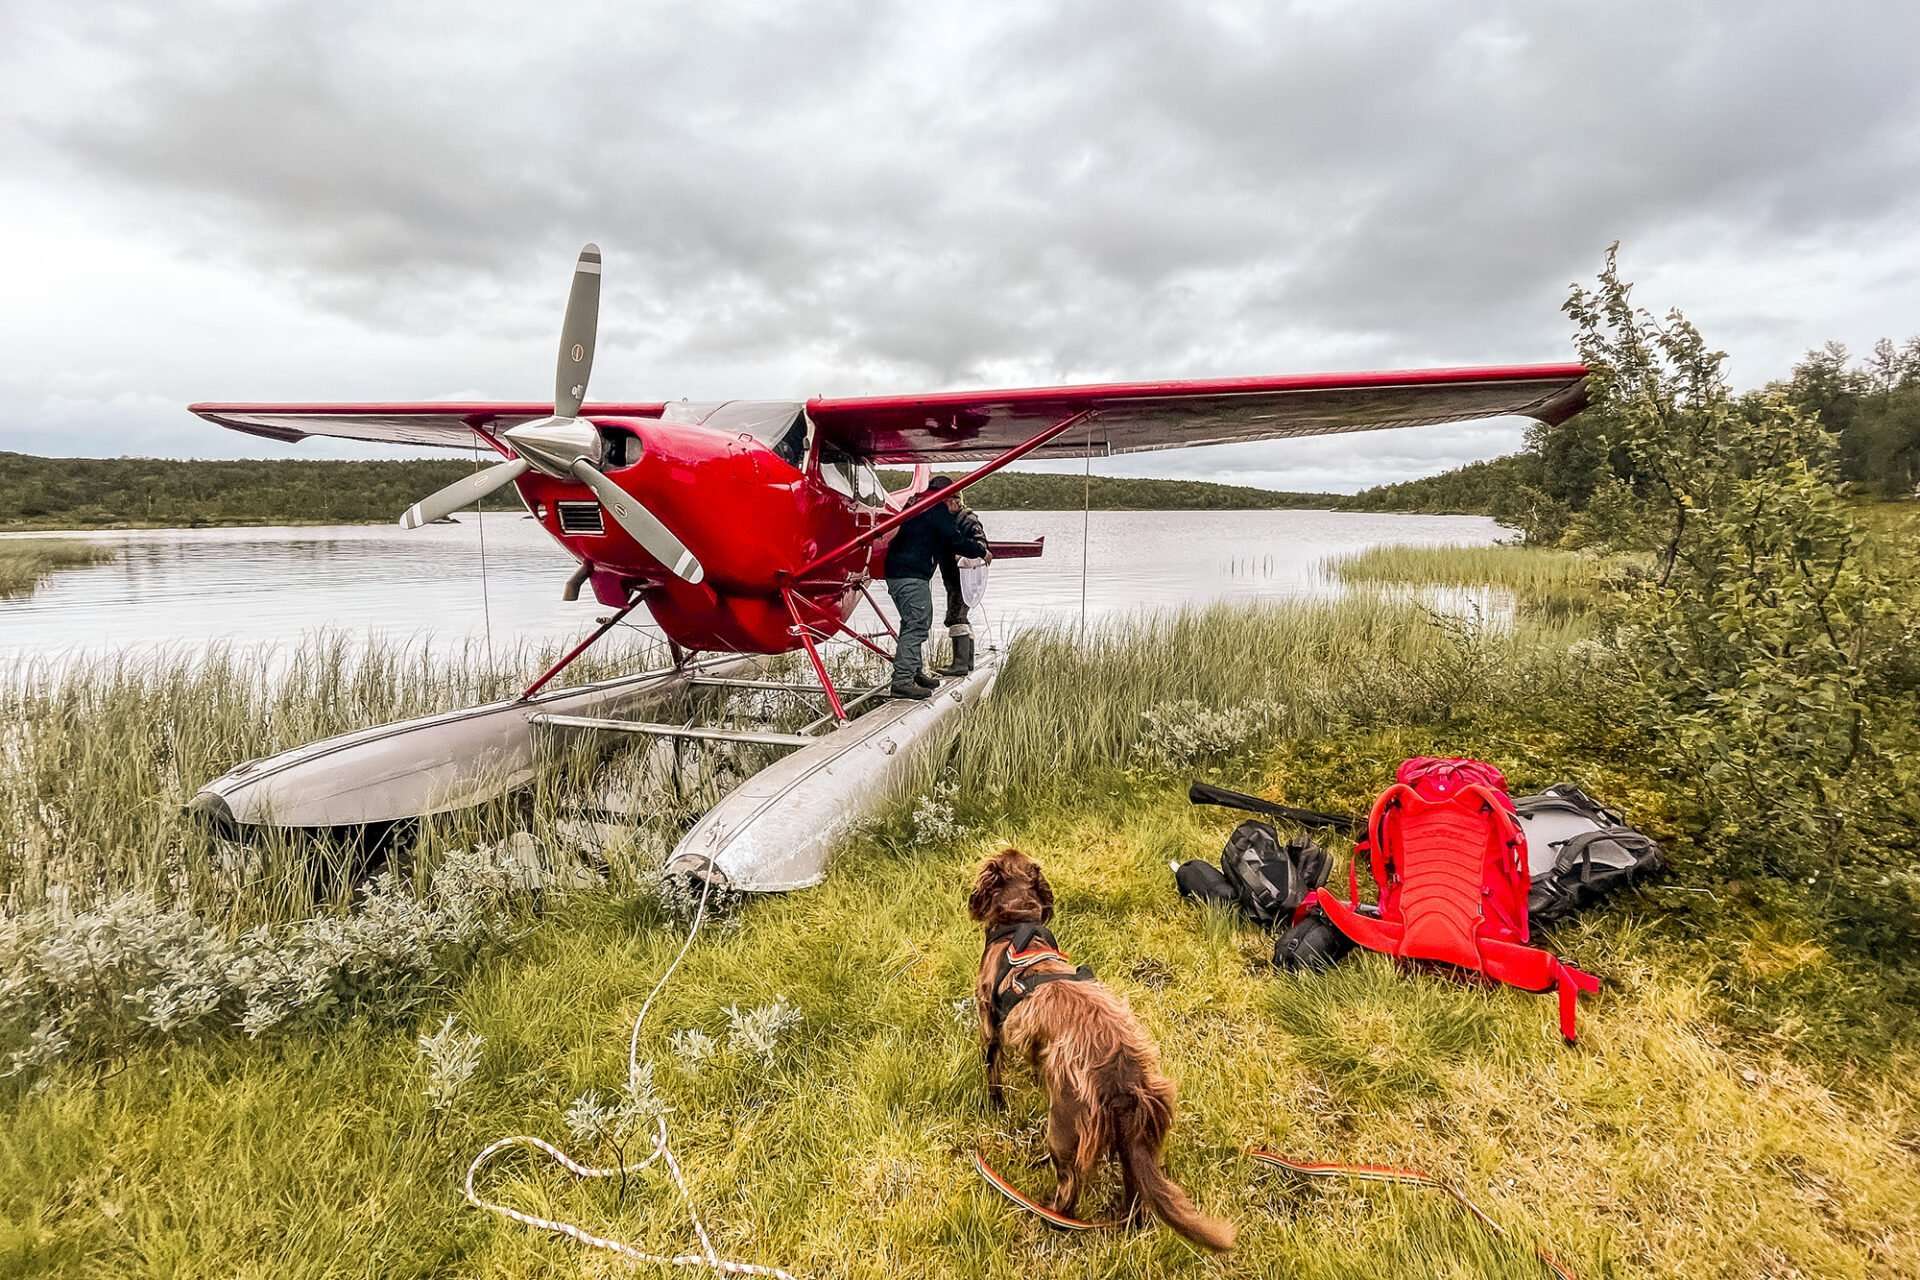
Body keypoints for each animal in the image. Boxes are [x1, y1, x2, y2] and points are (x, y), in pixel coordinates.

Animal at [967, 852, 1236, 1251]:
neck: (1018, 924)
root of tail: (1125, 1078)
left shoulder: (990, 1023)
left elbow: (993, 1074)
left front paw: (996, 1105)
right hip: (1134, 1142)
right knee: (1136, 1197)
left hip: (1065, 1129)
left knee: (1069, 1192)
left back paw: (1049, 1220)